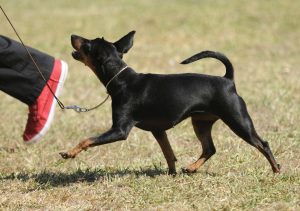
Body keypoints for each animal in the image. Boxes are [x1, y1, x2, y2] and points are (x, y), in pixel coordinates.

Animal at [59, 30, 280, 175]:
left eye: (88, 44)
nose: (72, 35)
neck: (122, 80)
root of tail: (228, 80)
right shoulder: (158, 131)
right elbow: (168, 153)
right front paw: (171, 173)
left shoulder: (119, 130)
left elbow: (87, 140)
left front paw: (70, 153)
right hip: (201, 123)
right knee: (209, 148)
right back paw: (191, 168)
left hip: (238, 120)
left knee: (262, 143)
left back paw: (276, 169)